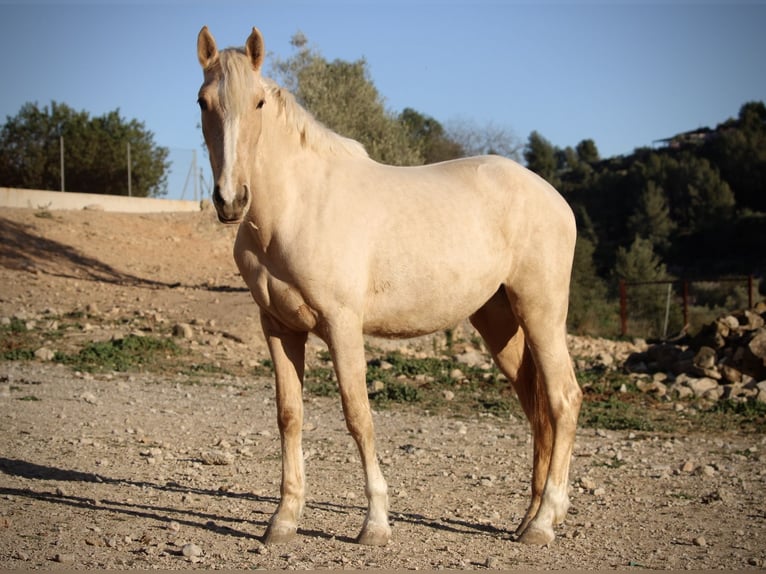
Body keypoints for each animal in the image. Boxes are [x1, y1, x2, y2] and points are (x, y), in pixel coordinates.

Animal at [196, 25, 584, 548]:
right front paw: (283, 519)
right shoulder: (278, 326)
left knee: (563, 400)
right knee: (536, 407)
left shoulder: (341, 325)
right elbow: (289, 415)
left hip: (542, 312)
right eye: (203, 102)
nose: (231, 200)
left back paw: (544, 523)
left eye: (258, 102)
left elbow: (358, 415)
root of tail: (553, 196)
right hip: (500, 322)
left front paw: (375, 523)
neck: (297, 207)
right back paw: (531, 517)